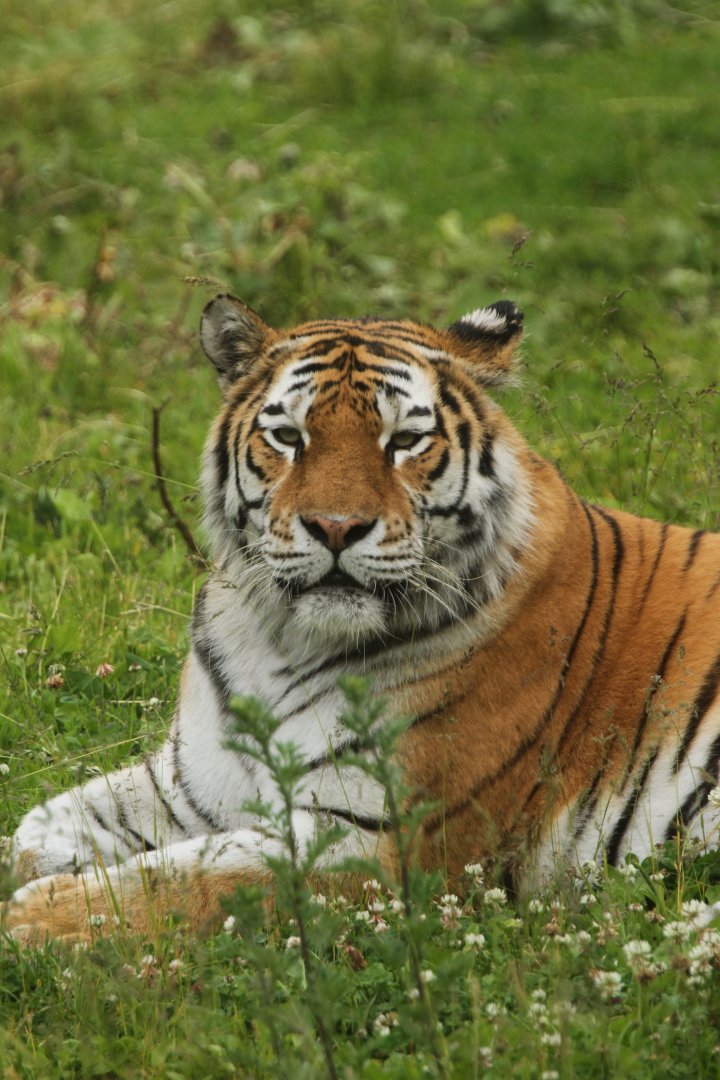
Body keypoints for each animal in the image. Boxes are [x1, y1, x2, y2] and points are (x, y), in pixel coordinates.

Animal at [4, 294, 720, 942]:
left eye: (404, 441)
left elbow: (193, 881)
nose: (336, 527)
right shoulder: (188, 786)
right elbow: (35, 830)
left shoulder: (375, 840)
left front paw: (35, 920)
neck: (278, 639)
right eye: (288, 437)